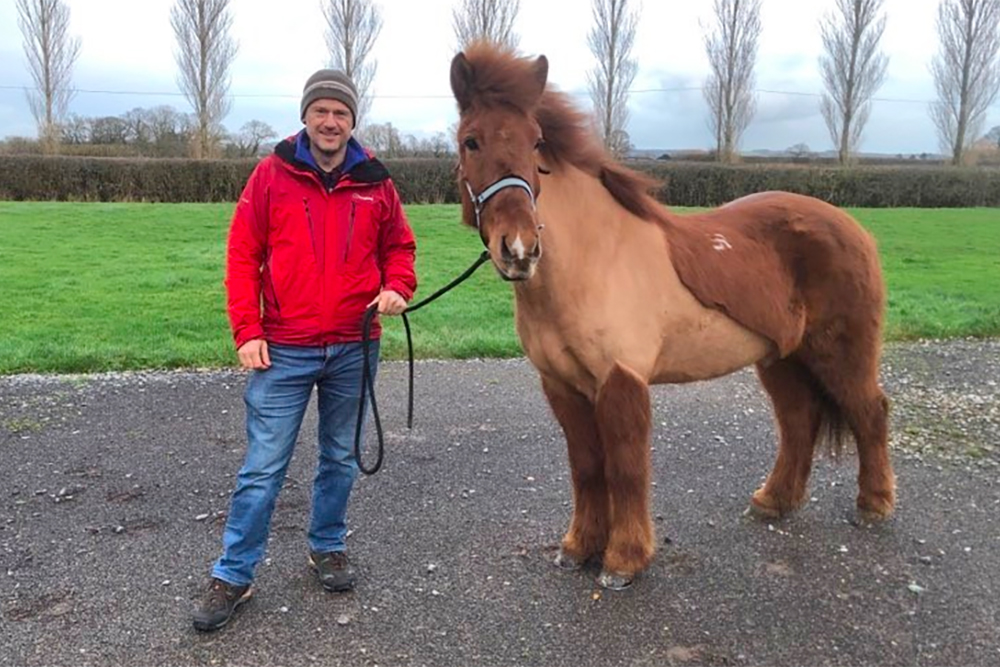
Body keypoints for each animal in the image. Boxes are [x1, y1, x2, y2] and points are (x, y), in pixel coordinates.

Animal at [450, 44, 896, 592]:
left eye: (536, 144)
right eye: (470, 140)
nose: (518, 248)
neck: (593, 260)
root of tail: (852, 226)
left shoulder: (621, 380)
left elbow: (625, 468)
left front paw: (623, 561)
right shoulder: (563, 386)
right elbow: (586, 467)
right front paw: (578, 548)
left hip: (842, 353)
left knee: (870, 411)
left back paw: (873, 505)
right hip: (781, 358)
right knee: (799, 419)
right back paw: (773, 501)